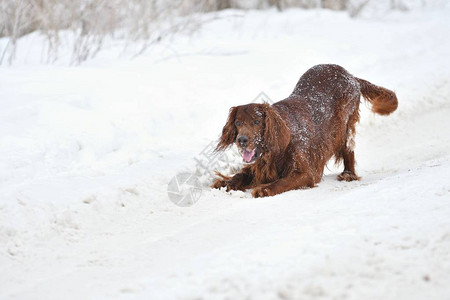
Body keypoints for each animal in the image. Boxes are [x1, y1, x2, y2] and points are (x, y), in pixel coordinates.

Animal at [211, 64, 398, 198]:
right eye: (238, 122)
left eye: (257, 122)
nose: (242, 140)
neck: (278, 143)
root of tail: (351, 76)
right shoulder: (259, 165)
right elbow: (241, 175)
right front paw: (226, 183)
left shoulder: (306, 173)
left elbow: (282, 182)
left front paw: (264, 189)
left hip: (344, 126)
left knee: (348, 149)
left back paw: (348, 174)